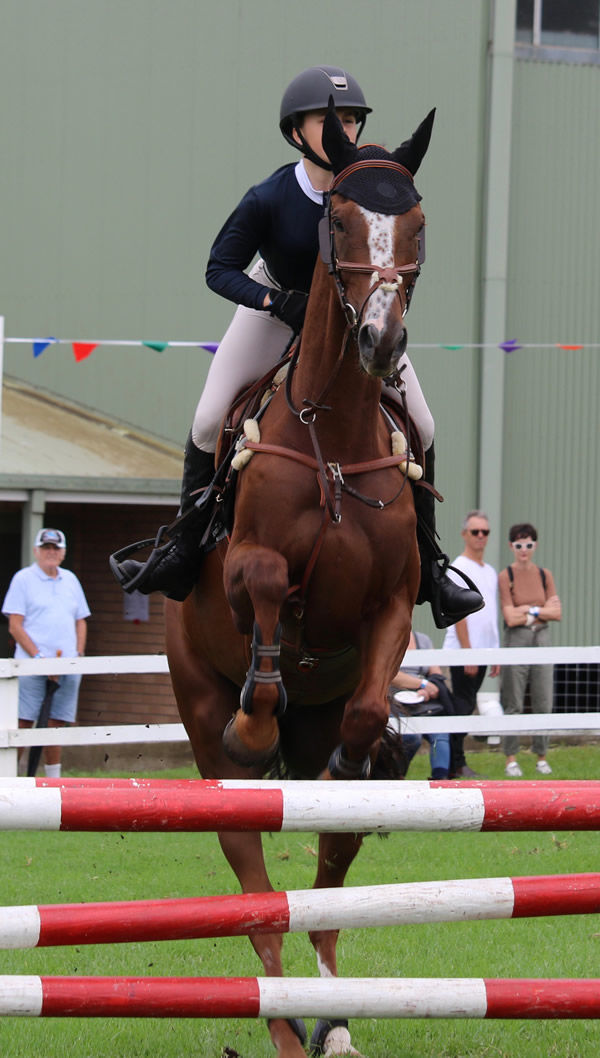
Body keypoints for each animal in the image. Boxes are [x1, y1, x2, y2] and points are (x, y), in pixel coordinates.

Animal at [165, 105, 431, 1058]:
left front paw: (368, 753)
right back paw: (283, 1023)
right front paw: (255, 716)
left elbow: (367, 704)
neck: (336, 436)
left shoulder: (391, 606)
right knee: (258, 894)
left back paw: (335, 1020)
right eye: (340, 224)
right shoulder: (253, 567)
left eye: (417, 223)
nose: (382, 344)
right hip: (200, 720)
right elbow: (273, 586)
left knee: (324, 885)